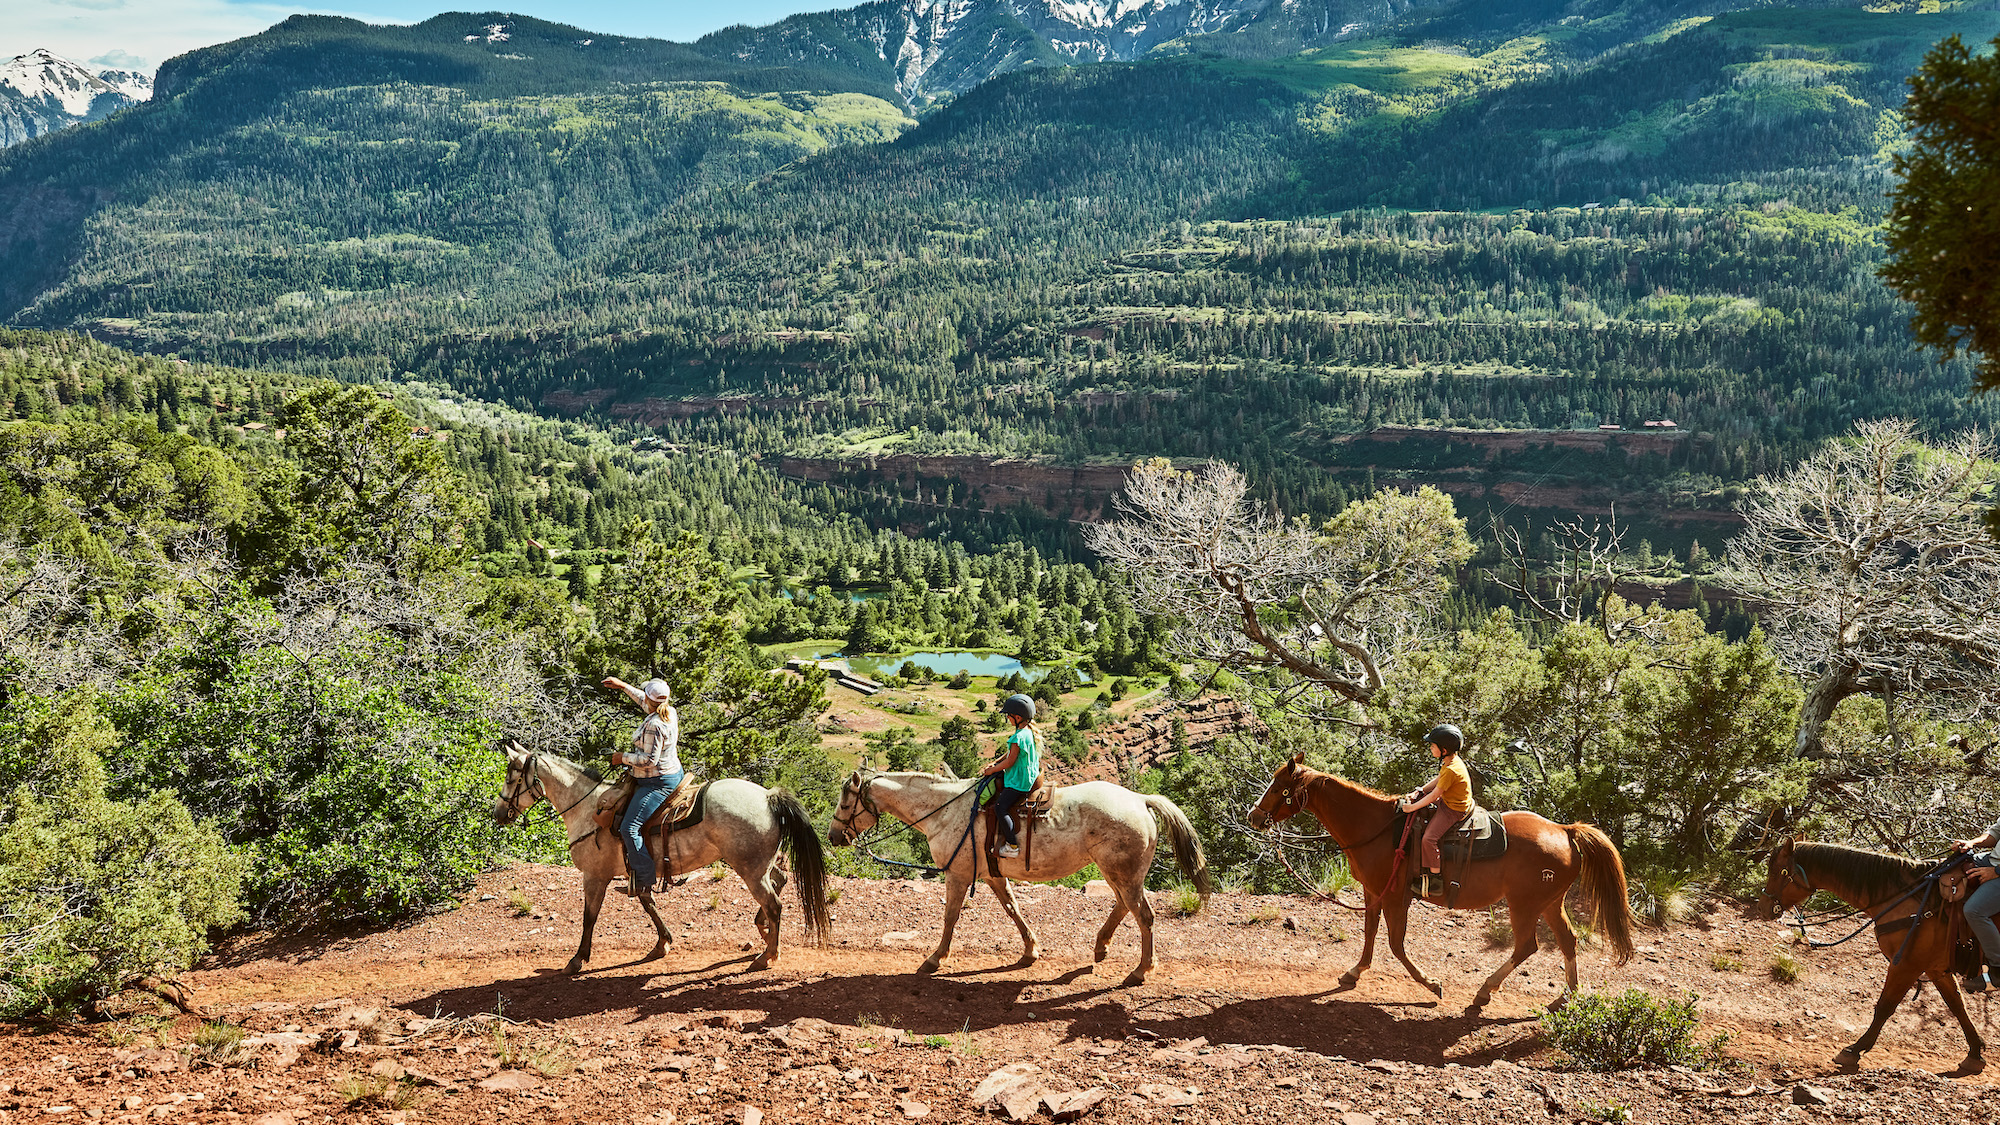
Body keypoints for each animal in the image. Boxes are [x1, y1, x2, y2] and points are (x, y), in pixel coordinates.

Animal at [492, 736, 828, 972]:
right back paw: (763, 931)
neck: (587, 809)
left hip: (750, 868)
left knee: (775, 904)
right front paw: (662, 944)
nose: (498, 813)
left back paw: (767, 955)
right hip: (762, 864)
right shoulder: (639, 867)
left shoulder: (595, 875)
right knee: (780, 881)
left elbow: (590, 916)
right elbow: (647, 902)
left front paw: (577, 959)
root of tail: (769, 796)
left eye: (511, 777)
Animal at [824, 768, 1208, 980]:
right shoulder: (992, 875)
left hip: (1123, 873)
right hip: (1117, 873)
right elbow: (1013, 909)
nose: (833, 836)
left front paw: (935, 958)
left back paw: (1140, 970)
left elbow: (950, 917)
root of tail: (1141, 800)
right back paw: (1101, 947)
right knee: (1124, 906)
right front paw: (1030, 951)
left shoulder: (958, 874)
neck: (945, 811)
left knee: (1143, 915)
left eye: (844, 803)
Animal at [1248, 752, 1640, 996]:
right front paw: (1354, 972)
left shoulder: (1395, 896)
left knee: (1527, 945)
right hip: (1549, 902)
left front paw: (1430, 983)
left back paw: (1485, 991)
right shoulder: (1373, 892)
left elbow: (1396, 944)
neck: (1378, 828)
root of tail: (1565, 830)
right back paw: (1568, 996)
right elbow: (1371, 933)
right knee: (1567, 941)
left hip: (1525, 904)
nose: (1254, 817)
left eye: (1279, 788)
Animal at [1760, 836, 1976, 1064]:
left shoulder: (1906, 966)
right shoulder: (1936, 968)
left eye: (1780, 871)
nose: (1762, 907)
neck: (1907, 901)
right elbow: (1957, 1005)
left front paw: (1857, 1047)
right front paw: (1976, 1050)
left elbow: (1884, 1006)